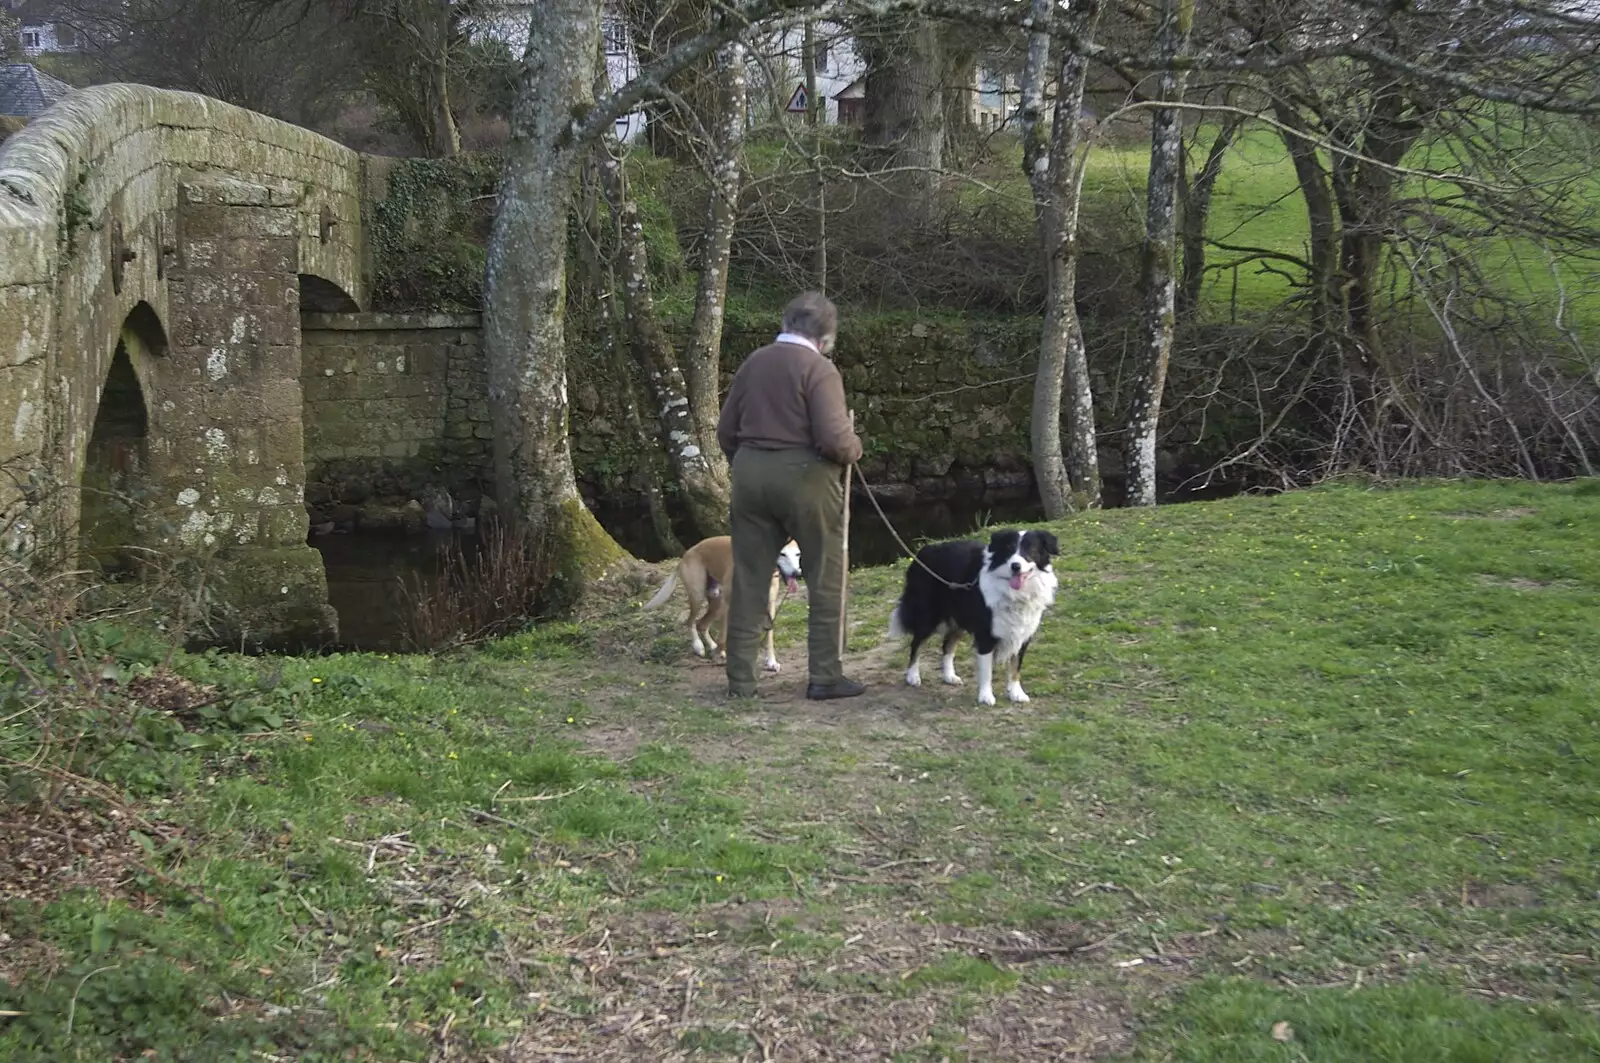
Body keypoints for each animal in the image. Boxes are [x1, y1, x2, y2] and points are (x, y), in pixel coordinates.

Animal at [646, 534, 806, 669]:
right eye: (782, 554)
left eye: (797, 554)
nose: (797, 573)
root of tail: (687, 553)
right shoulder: (730, 606)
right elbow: (724, 635)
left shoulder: (769, 606)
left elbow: (769, 637)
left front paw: (771, 662)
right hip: (699, 597)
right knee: (691, 621)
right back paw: (699, 646)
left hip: (717, 603)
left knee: (701, 624)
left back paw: (712, 647)